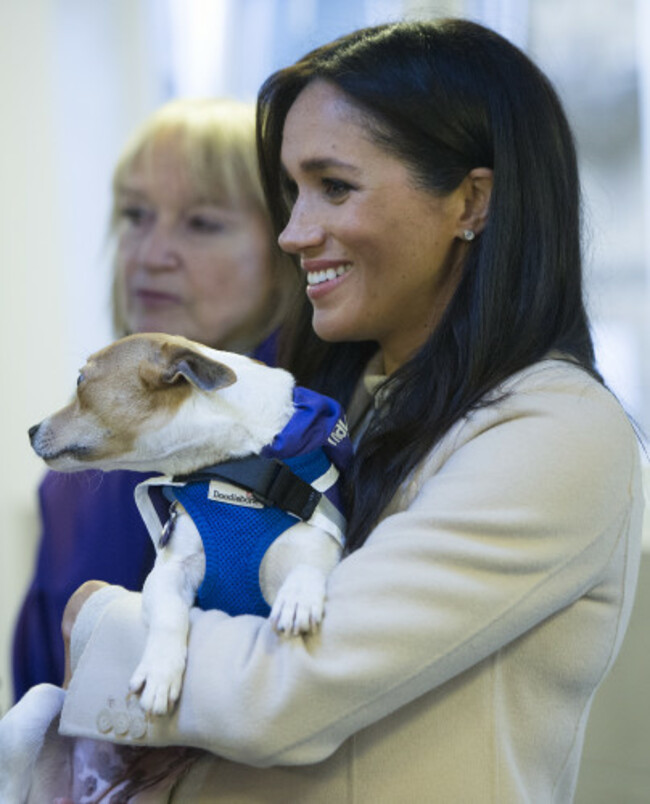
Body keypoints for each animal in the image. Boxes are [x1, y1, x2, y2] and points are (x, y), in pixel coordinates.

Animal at [0, 332, 346, 796]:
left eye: (80, 381)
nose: (30, 430)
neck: (238, 470)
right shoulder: (169, 570)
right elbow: (169, 615)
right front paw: (160, 671)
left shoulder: (320, 541)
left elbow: (309, 568)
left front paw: (298, 600)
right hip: (37, 707)